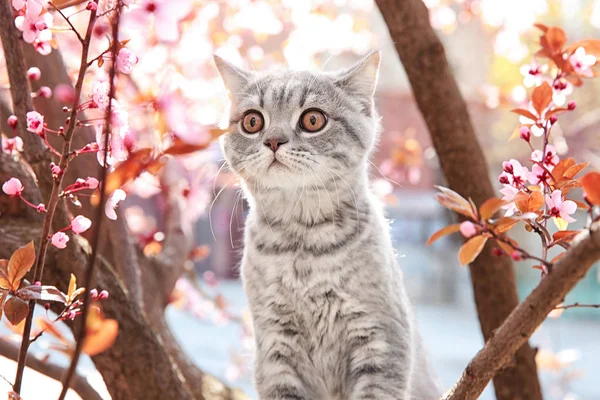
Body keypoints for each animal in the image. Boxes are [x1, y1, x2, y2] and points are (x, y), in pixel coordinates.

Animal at [213, 51, 438, 398]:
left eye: (312, 120)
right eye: (253, 121)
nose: (274, 140)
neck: (303, 244)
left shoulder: (381, 337)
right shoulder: (275, 348)